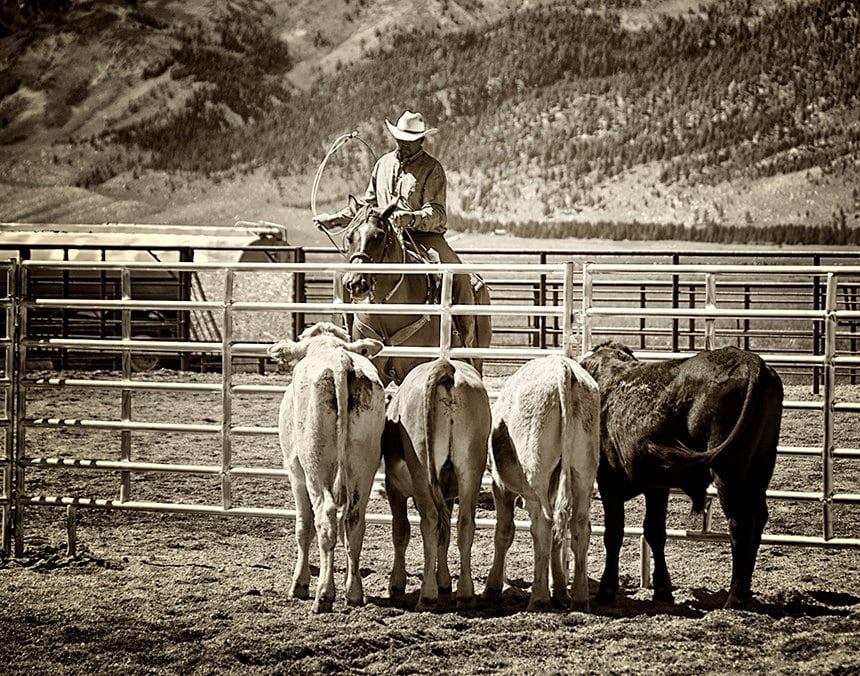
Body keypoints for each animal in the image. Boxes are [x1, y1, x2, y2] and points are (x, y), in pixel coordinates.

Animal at [268, 322, 386, 612]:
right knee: (354, 522)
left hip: (315, 467)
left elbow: (303, 526)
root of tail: (340, 361)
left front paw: (299, 584)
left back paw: (323, 594)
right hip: (364, 465)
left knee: (326, 518)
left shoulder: (295, 473)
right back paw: (353, 592)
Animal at [382, 356, 490, 608]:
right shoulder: (448, 494)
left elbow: (401, 531)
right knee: (465, 524)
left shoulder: (394, 487)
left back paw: (428, 594)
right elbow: (445, 533)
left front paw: (397, 584)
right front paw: (445, 582)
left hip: (422, 469)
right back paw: (466, 594)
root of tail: (445, 367)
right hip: (470, 470)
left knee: (429, 520)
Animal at [484, 356, 596, 608]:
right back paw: (579, 596)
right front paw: (560, 587)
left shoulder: (500, 485)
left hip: (536, 475)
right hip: (583, 474)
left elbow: (504, 531)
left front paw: (492, 588)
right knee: (578, 526)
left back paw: (539, 597)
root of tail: (563, 367)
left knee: (543, 526)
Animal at [576, 340, 788, 608]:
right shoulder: (656, 485)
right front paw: (662, 590)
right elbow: (655, 532)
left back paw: (735, 597)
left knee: (740, 522)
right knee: (758, 519)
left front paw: (606, 590)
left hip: (728, 471)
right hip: (760, 466)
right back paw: (745, 591)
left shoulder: (609, 482)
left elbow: (614, 534)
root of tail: (750, 360)